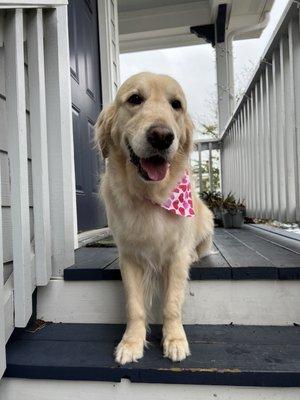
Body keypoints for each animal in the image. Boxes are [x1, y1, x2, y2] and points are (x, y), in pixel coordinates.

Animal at [95, 72, 213, 366]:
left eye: (176, 104)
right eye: (135, 99)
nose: (161, 137)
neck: (150, 195)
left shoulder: (177, 255)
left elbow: (172, 303)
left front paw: (175, 340)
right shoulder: (129, 256)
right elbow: (135, 306)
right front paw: (131, 342)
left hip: (207, 218)